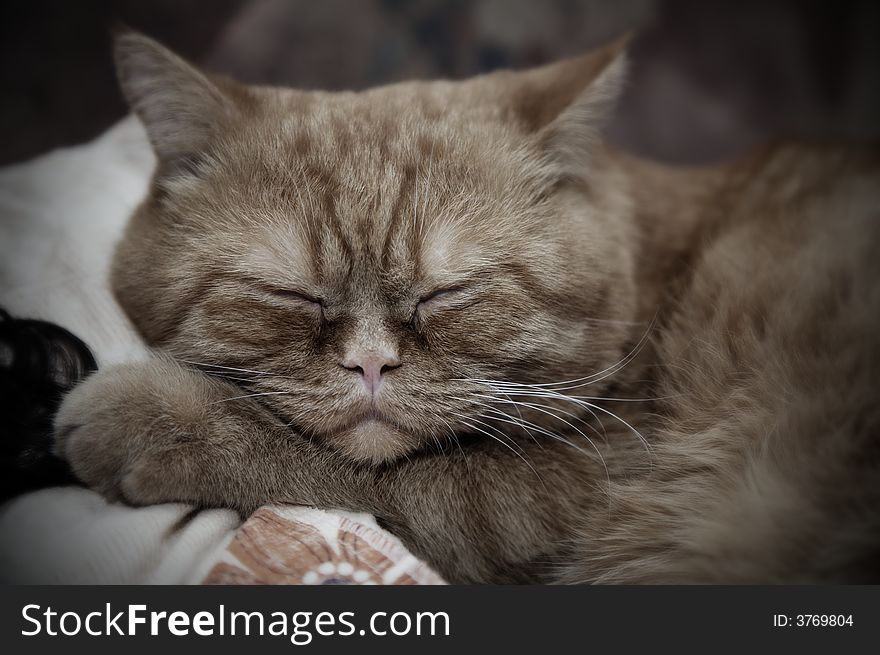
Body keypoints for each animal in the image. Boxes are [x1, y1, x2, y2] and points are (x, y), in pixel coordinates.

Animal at [53, 30, 880, 584]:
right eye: (292, 295)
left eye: (446, 293)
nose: (371, 363)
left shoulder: (574, 488)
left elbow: (368, 471)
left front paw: (160, 414)